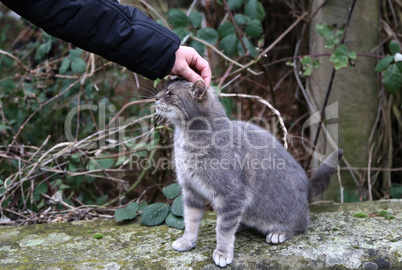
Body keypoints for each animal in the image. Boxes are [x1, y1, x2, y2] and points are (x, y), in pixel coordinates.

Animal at [154, 78, 342, 268]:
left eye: (170, 93)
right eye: (163, 89)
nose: (155, 97)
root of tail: (307, 183)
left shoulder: (232, 194)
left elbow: (223, 230)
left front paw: (223, 252)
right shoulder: (191, 191)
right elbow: (190, 220)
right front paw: (187, 241)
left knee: (302, 223)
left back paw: (279, 232)